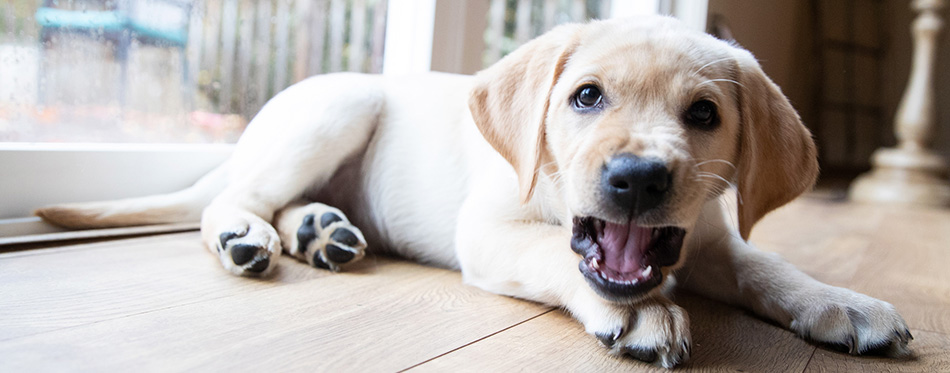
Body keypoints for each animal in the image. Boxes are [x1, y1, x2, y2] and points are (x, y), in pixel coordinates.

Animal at [39, 16, 916, 368]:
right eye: (586, 97)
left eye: (704, 115)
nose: (637, 178)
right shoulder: (491, 231)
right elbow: (556, 252)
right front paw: (641, 311)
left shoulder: (708, 240)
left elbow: (770, 268)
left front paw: (844, 302)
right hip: (340, 104)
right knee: (235, 202)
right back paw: (246, 235)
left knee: (287, 204)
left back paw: (321, 228)